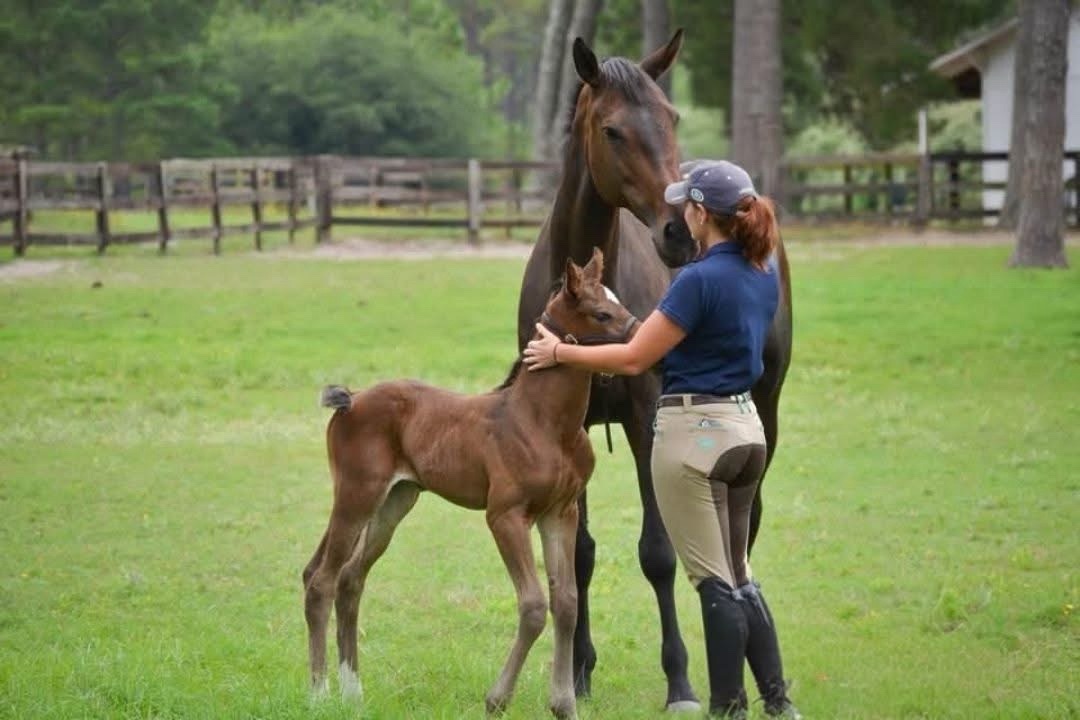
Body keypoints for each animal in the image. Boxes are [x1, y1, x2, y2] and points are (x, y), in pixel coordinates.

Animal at [302, 249, 639, 720]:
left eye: (618, 301)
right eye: (602, 313)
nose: (641, 334)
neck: (544, 422)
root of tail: (350, 402)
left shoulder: (561, 512)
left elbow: (567, 603)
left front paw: (564, 704)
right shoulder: (506, 516)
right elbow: (534, 605)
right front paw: (497, 699)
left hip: (394, 501)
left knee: (349, 579)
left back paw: (353, 692)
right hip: (357, 494)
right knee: (321, 580)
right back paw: (319, 694)